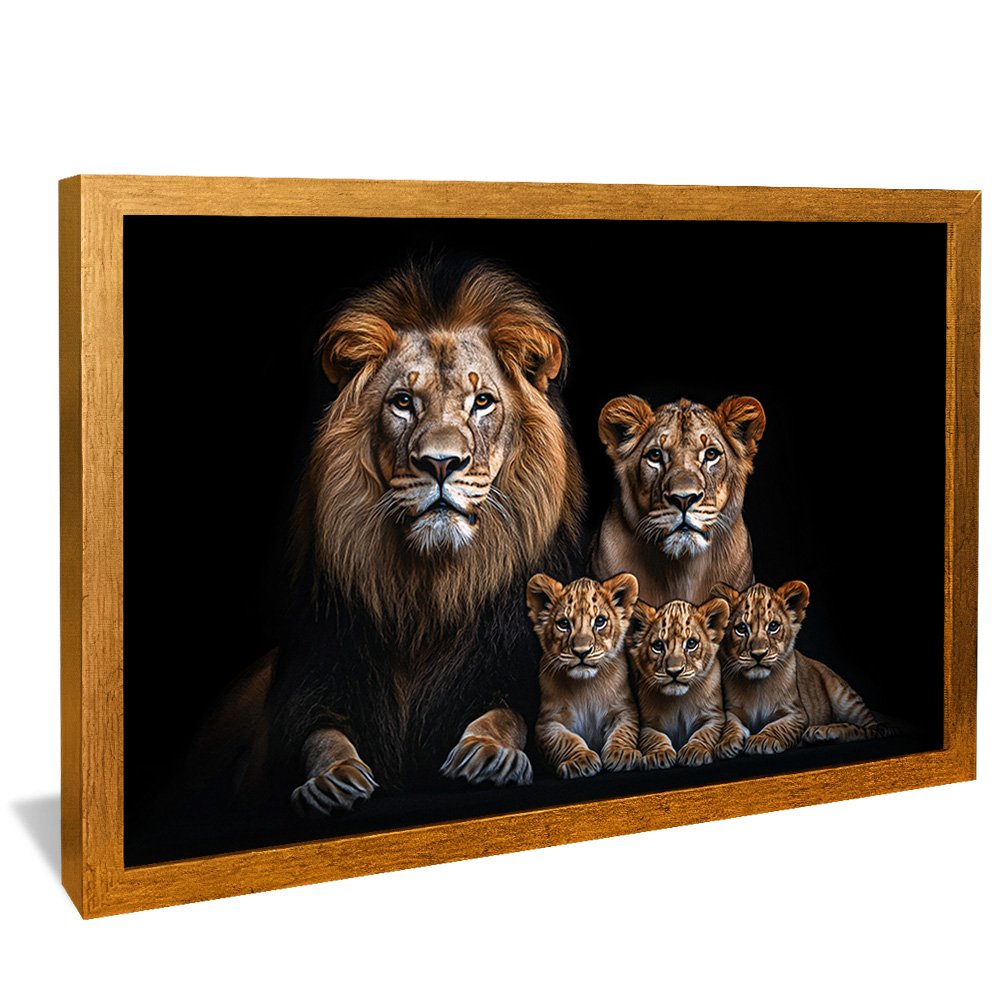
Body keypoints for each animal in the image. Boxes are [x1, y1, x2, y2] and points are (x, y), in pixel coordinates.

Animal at [254, 258, 586, 815]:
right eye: (404, 402)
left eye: (482, 402)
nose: (441, 463)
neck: (427, 598)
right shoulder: (316, 677)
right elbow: (320, 738)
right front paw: (333, 779)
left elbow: (508, 716)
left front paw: (487, 753)